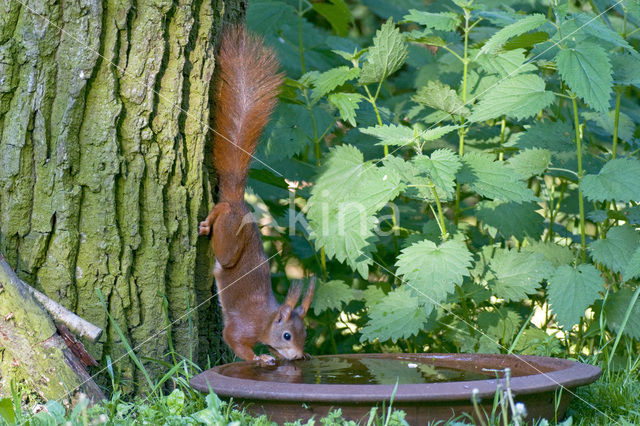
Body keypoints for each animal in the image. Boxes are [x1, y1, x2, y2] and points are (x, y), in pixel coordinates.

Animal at [198, 25, 312, 364]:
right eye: (287, 335)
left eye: (305, 334)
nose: (298, 356)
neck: (266, 320)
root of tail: (239, 203)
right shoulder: (242, 328)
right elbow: (234, 341)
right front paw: (260, 359)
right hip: (227, 244)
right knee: (221, 218)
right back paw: (208, 222)